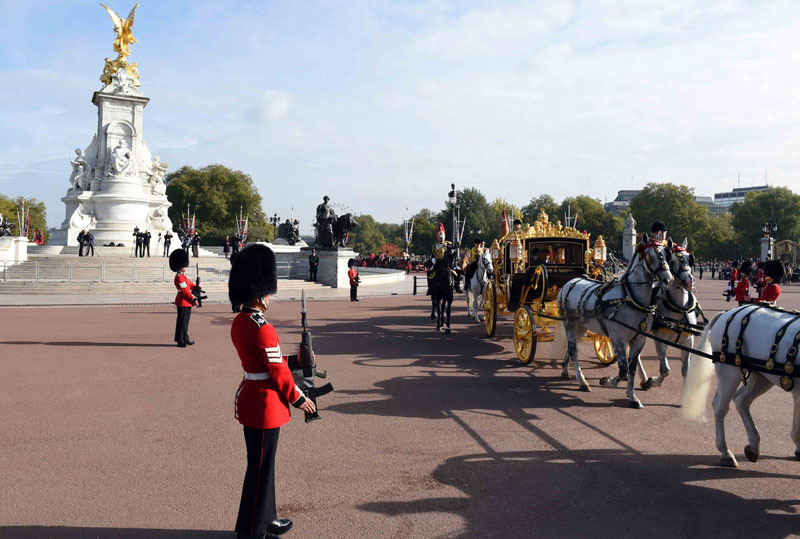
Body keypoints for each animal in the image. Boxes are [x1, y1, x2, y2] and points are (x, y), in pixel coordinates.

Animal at [556, 236, 676, 410]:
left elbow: (632, 369)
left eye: (667, 255)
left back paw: (565, 371)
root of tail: (569, 283)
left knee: (571, 347)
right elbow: (623, 370)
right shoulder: (618, 338)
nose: (669, 279)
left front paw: (632, 397)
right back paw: (582, 382)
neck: (632, 298)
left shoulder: (639, 339)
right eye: (649, 256)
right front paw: (606, 381)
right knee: (574, 351)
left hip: (580, 326)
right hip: (569, 323)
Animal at [680, 306, 800, 466]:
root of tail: (728, 313)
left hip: (762, 377)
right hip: (729, 371)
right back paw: (726, 453)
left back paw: (753, 445)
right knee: (720, 406)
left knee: (741, 400)